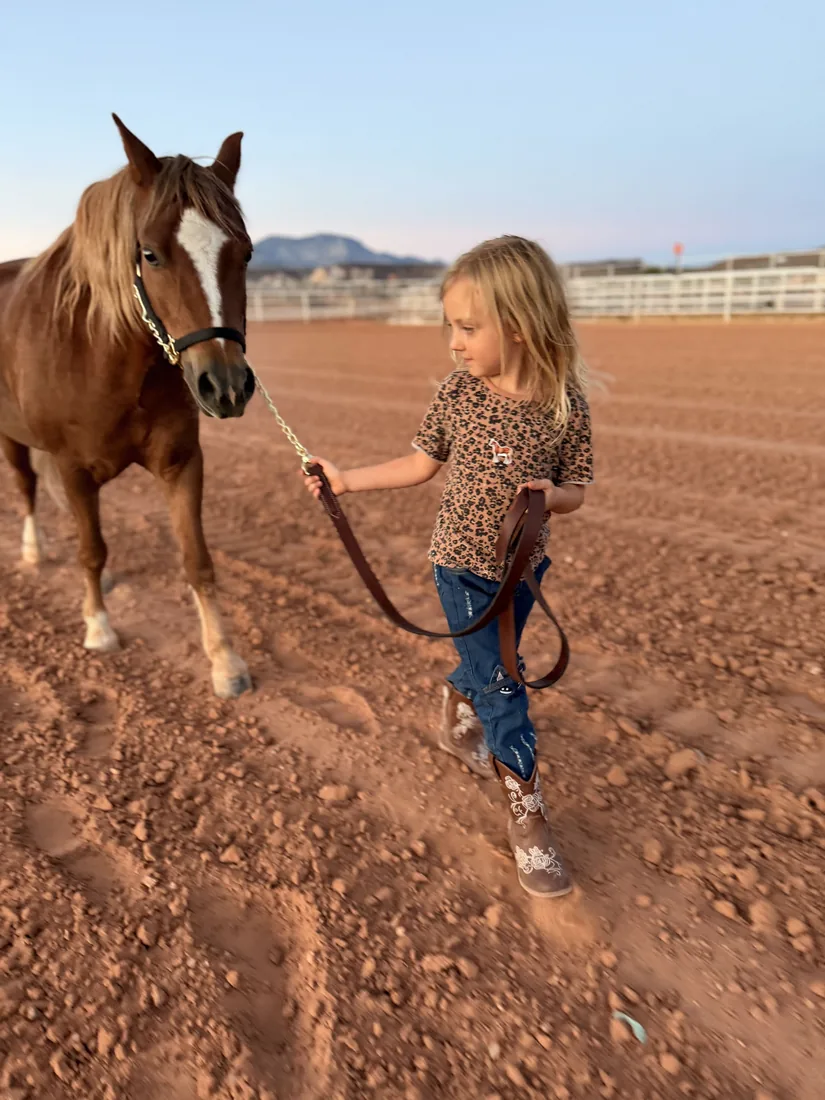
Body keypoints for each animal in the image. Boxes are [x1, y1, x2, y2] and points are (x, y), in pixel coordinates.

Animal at [0, 114, 257, 698]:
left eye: (246, 252)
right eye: (150, 254)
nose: (226, 386)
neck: (107, 357)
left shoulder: (181, 463)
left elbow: (197, 561)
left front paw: (224, 660)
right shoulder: (72, 467)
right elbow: (91, 548)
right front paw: (98, 627)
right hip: (10, 437)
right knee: (27, 489)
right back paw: (34, 551)